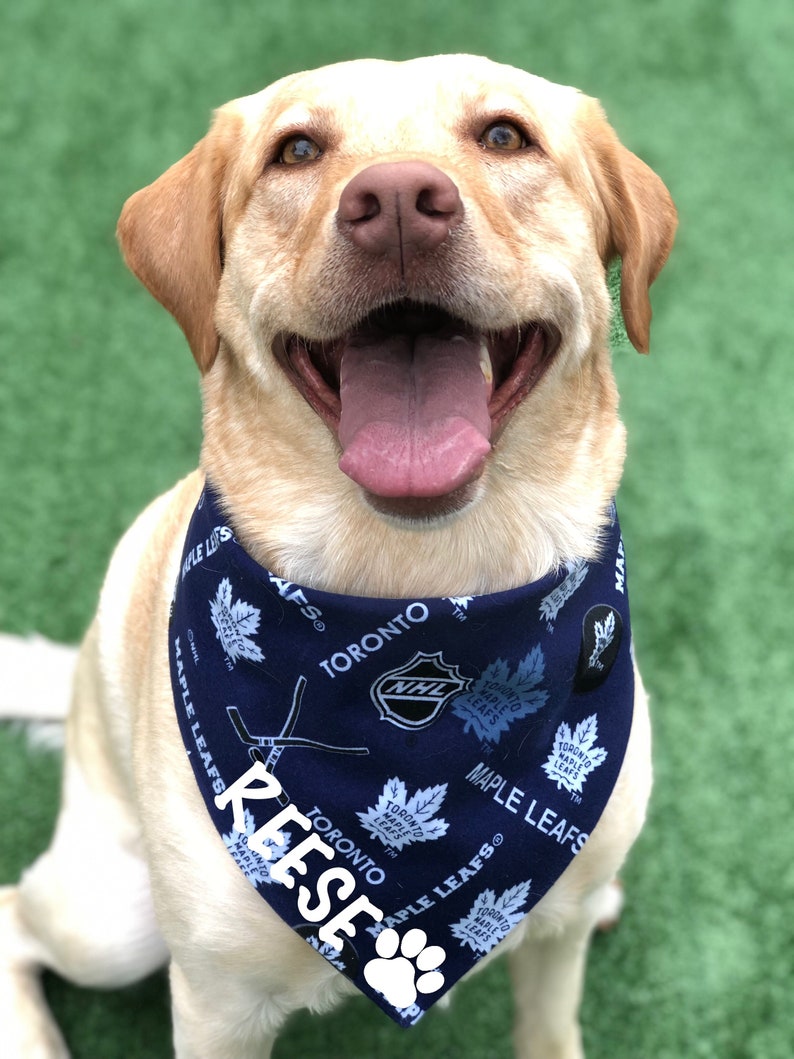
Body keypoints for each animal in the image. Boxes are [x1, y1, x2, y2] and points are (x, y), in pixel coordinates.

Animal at [0, 57, 673, 1059]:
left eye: (505, 136)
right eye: (297, 151)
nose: (396, 202)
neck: (422, 592)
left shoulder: (553, 945)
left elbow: (549, 1029)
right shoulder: (216, 1002)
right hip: (114, 918)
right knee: (14, 914)